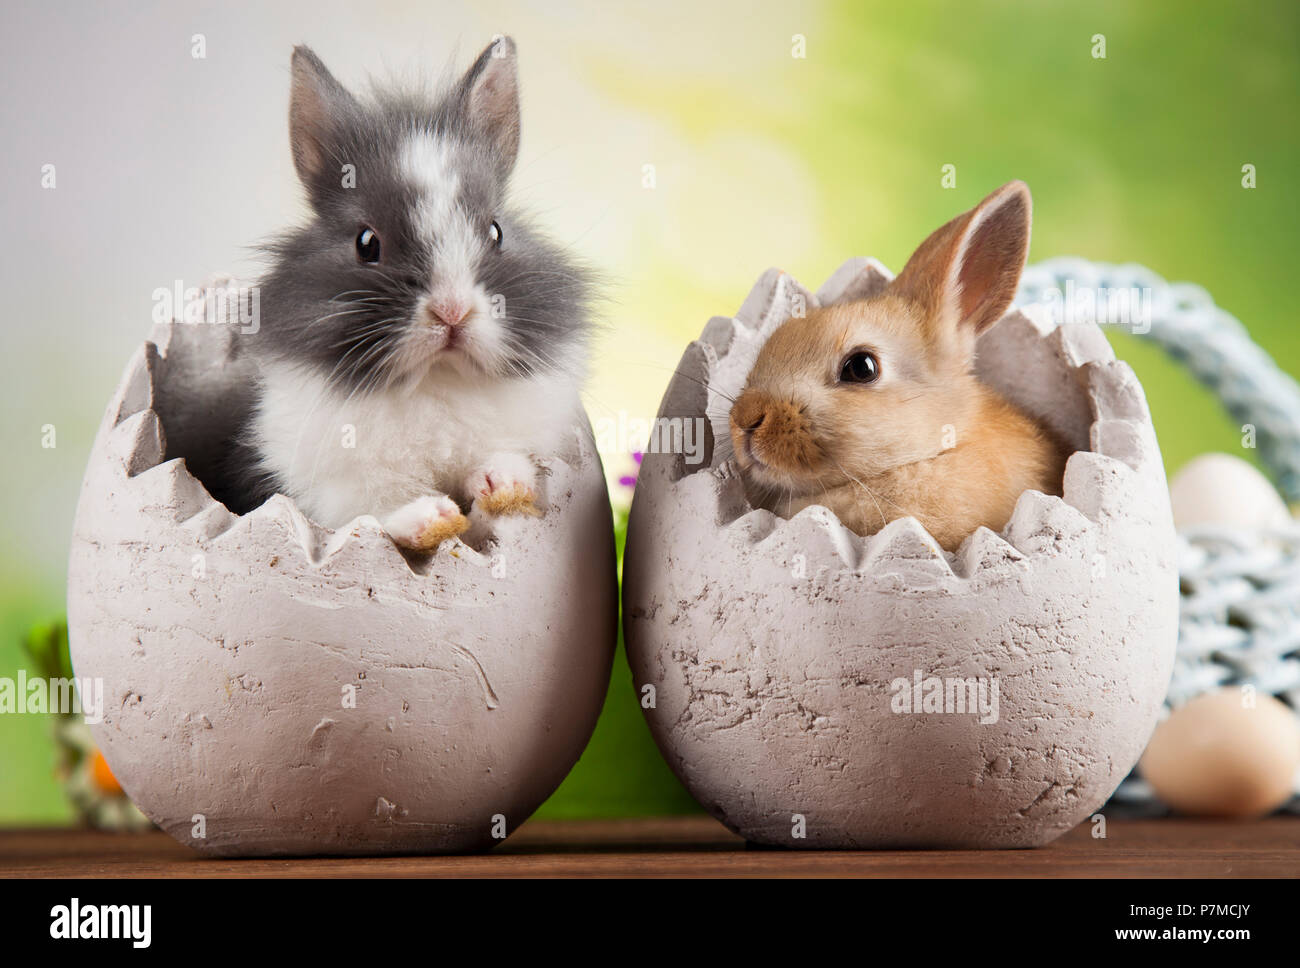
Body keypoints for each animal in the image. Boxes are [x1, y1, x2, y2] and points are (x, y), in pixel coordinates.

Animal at [219, 37, 593, 551]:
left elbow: (505, 460)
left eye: (496, 231)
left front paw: (503, 484)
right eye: (366, 242)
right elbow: (370, 510)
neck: (435, 379)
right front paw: (432, 518)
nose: (452, 311)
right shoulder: (322, 485)